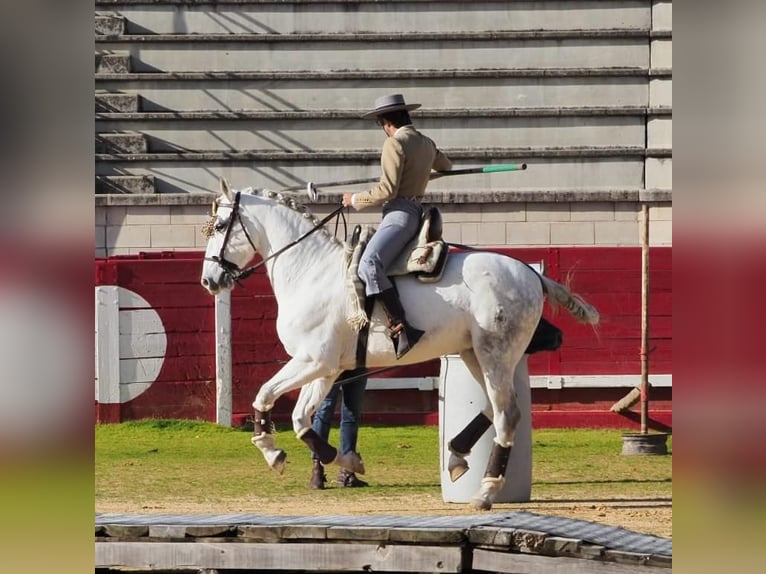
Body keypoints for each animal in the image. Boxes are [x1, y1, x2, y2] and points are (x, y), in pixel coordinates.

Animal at [200, 181, 600, 512]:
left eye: (220, 227)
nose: (209, 281)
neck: (311, 272)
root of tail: (531, 273)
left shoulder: (312, 360)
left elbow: (265, 394)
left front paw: (272, 451)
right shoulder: (328, 368)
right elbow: (301, 419)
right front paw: (342, 460)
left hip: (496, 355)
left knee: (506, 414)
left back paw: (485, 491)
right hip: (475, 355)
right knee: (496, 407)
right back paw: (456, 456)